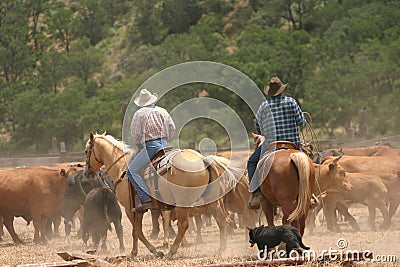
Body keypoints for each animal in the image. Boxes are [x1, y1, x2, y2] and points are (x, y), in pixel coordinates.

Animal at [84, 134, 239, 260]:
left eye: (86, 151)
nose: (87, 173)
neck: (121, 167)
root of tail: (202, 159)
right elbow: (138, 231)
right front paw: (138, 252)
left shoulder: (131, 209)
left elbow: (137, 231)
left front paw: (149, 252)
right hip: (212, 201)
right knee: (221, 220)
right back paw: (221, 249)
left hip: (183, 203)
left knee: (183, 225)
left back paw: (171, 252)